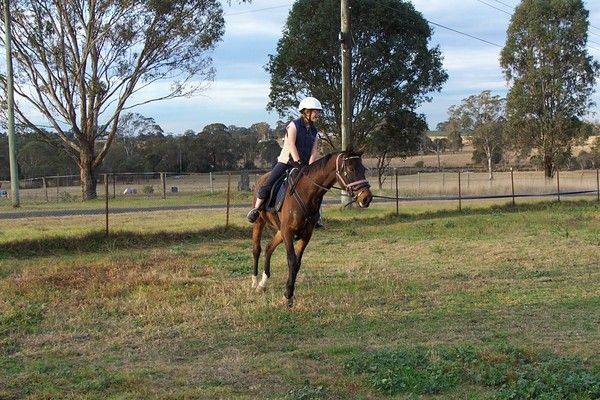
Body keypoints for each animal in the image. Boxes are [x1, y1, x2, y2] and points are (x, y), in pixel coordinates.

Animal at [250, 147, 373, 307]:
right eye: (351, 169)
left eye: (363, 169)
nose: (366, 198)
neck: (307, 193)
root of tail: (261, 179)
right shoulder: (288, 232)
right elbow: (291, 260)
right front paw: (288, 296)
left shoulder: (306, 234)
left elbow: (297, 263)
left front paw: (289, 294)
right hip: (260, 222)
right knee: (256, 249)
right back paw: (254, 282)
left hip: (280, 230)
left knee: (269, 247)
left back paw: (262, 284)